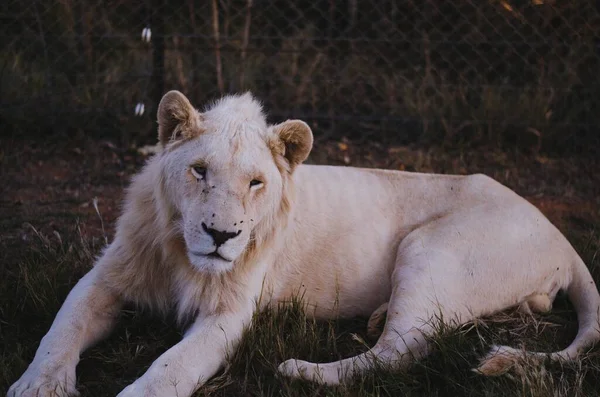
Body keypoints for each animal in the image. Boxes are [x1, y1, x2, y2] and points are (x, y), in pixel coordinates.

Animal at [9, 90, 600, 396]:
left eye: (255, 183)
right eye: (199, 171)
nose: (221, 236)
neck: (182, 255)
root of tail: (561, 236)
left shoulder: (228, 315)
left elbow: (173, 366)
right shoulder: (105, 277)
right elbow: (59, 331)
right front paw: (36, 385)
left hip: (432, 249)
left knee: (402, 350)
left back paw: (305, 371)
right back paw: (373, 317)